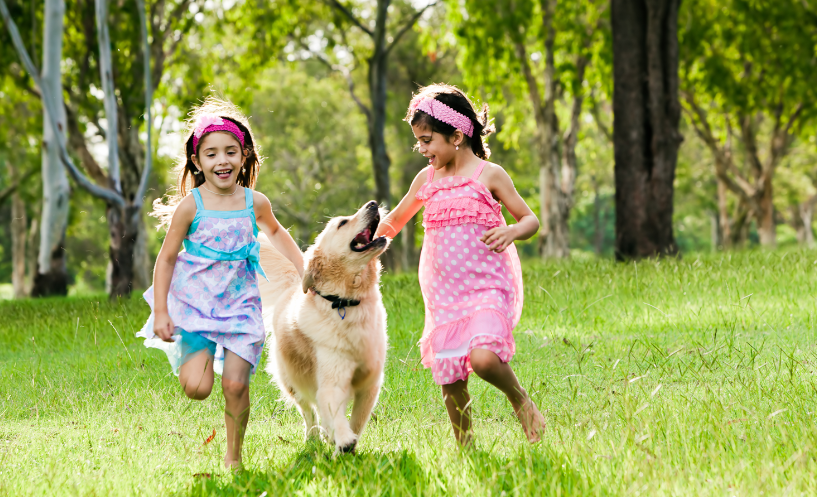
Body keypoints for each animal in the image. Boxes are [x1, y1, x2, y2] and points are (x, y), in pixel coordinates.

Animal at [260, 200, 390, 452]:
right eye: (342, 223)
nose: (373, 203)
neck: (345, 302)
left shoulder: (370, 383)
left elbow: (357, 419)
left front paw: (349, 442)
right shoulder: (331, 380)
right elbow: (333, 412)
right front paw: (344, 439)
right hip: (292, 380)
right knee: (309, 413)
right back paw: (314, 438)